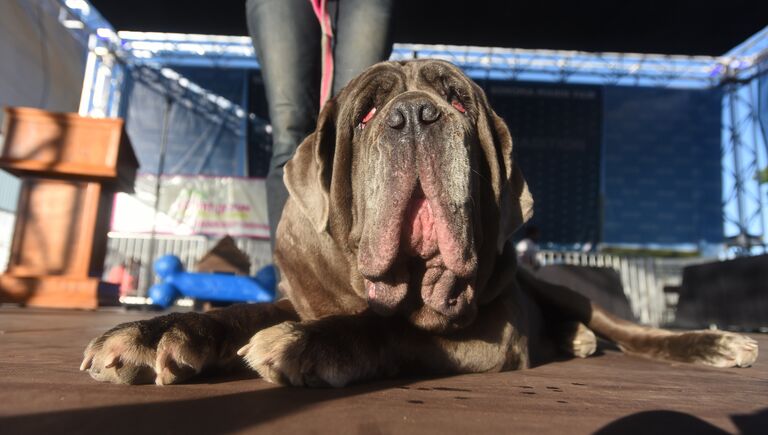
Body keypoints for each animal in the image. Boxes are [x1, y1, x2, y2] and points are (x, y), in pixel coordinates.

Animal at [82, 60, 756, 388]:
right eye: (367, 114)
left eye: (457, 100)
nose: (414, 115)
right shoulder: (303, 296)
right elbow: (239, 312)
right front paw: (155, 333)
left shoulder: (488, 335)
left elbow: (394, 331)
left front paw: (307, 343)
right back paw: (574, 341)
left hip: (568, 291)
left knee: (630, 330)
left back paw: (713, 343)